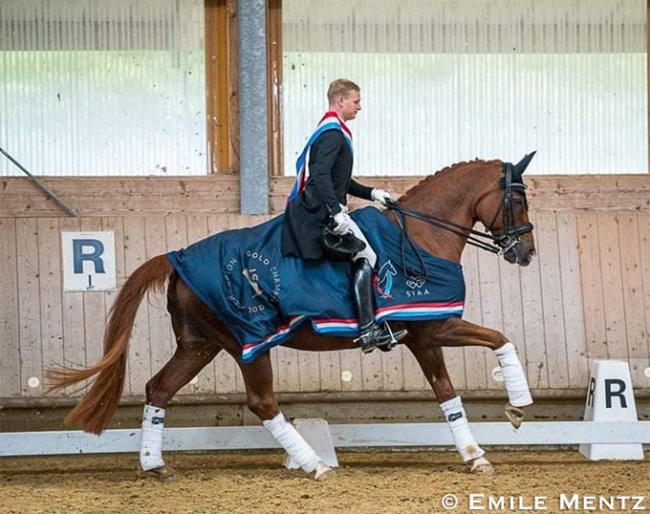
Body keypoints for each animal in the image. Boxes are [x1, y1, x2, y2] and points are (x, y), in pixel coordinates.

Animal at [48, 154, 536, 478]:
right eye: (518, 201)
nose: (526, 253)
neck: (419, 237)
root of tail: (177, 257)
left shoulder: (423, 337)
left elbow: (448, 394)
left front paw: (475, 454)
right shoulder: (436, 327)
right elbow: (500, 339)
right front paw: (517, 407)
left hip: (199, 345)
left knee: (159, 389)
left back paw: (155, 465)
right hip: (246, 342)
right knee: (262, 402)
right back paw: (314, 464)